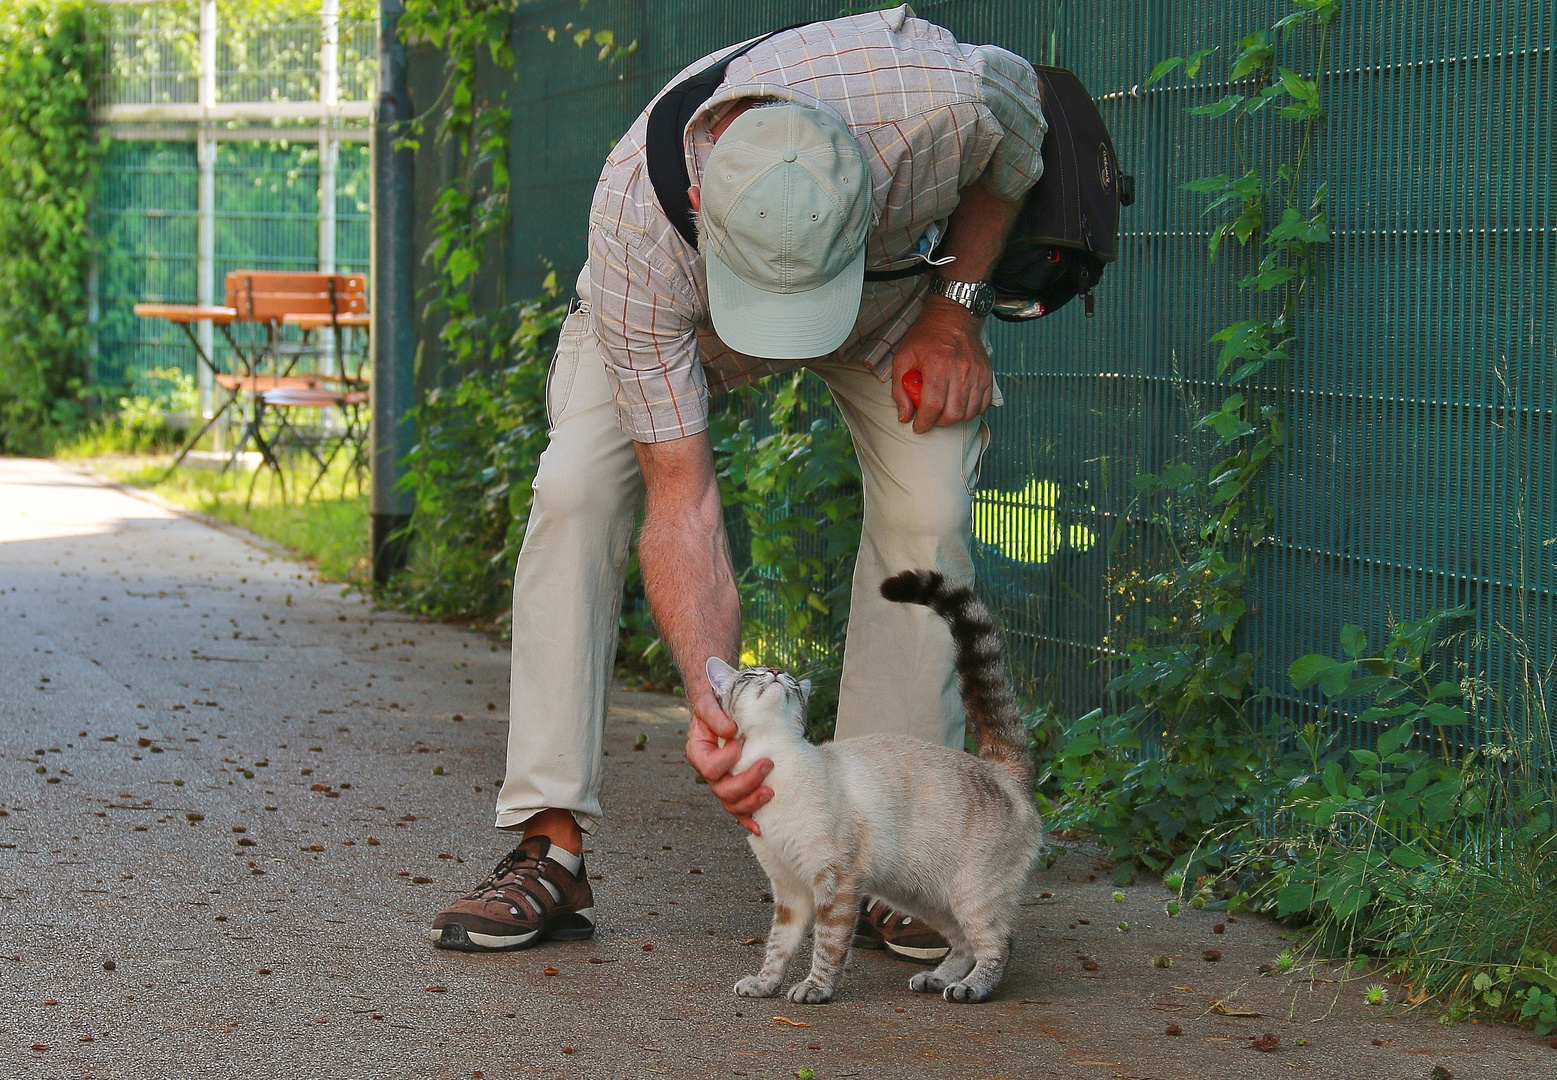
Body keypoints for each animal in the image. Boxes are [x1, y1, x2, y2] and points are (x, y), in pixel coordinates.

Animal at [709, 566, 1046, 1008]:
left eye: (793, 683)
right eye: (752, 675)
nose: (779, 674)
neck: (773, 762)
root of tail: (1000, 768)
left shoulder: (836, 883)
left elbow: (827, 946)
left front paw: (815, 989)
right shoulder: (790, 892)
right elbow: (778, 947)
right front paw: (765, 985)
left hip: (970, 893)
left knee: (998, 945)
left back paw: (970, 988)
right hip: (924, 896)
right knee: (962, 943)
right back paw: (936, 979)